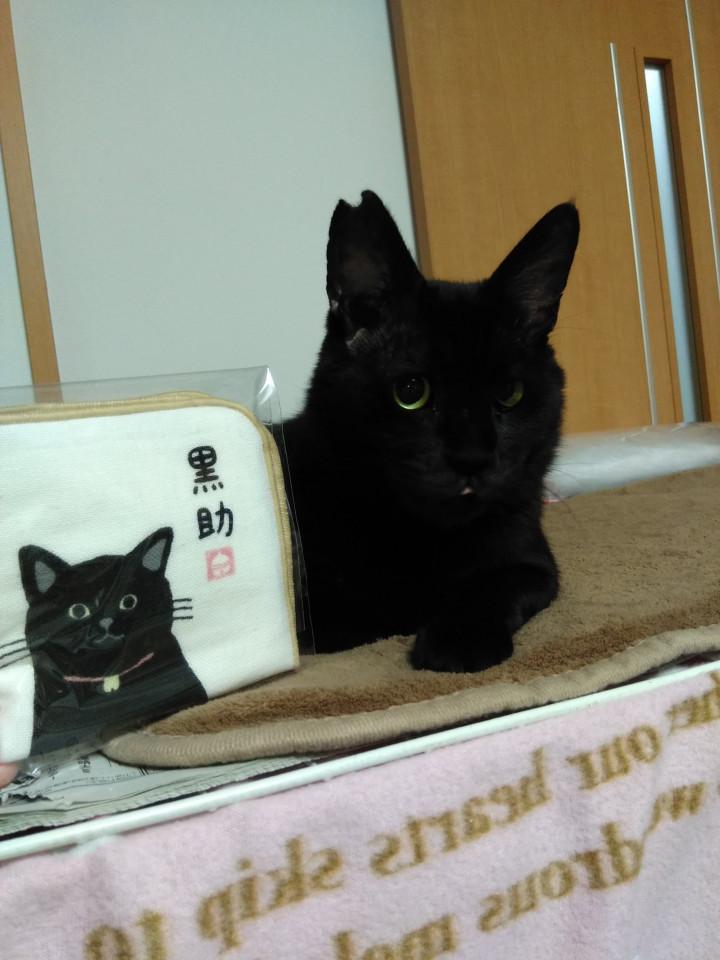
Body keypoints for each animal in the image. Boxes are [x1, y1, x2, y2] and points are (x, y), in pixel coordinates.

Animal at [283, 191, 579, 672]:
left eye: (509, 393)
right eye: (410, 392)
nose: (472, 458)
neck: (422, 536)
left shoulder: (532, 559)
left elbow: (500, 584)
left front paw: (458, 640)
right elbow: (358, 614)